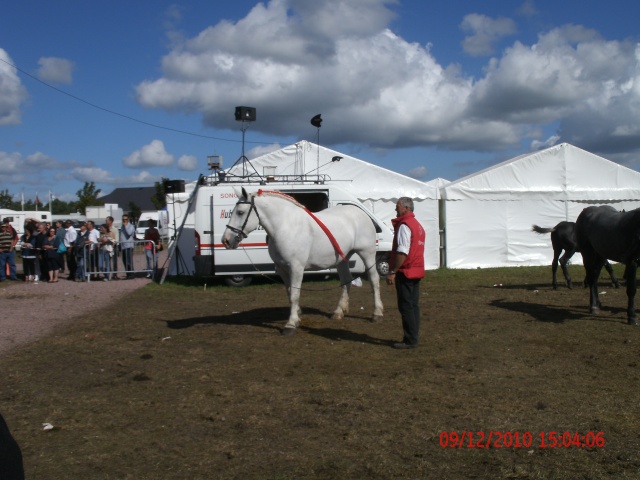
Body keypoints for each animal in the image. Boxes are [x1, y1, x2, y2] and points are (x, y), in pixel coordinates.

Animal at [220, 188, 382, 334]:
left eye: (240, 212)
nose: (226, 240)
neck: (286, 227)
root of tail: (363, 213)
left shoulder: (296, 268)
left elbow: (294, 295)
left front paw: (290, 324)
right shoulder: (281, 269)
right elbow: (289, 292)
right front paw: (297, 316)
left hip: (367, 254)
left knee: (374, 280)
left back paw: (377, 313)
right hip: (342, 259)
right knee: (346, 281)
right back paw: (338, 312)